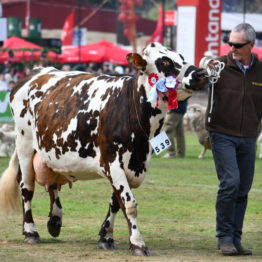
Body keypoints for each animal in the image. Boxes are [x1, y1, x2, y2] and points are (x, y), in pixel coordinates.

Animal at [0, 42, 213, 255]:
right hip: (25, 144)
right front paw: (137, 243)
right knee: (26, 187)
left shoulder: (134, 164)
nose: (201, 73)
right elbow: (129, 203)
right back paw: (31, 231)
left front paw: (106, 236)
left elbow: (116, 203)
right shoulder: (112, 161)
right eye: (165, 62)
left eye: (181, 57)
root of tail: (37, 71)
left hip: (52, 152)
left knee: (52, 184)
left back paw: (55, 220)